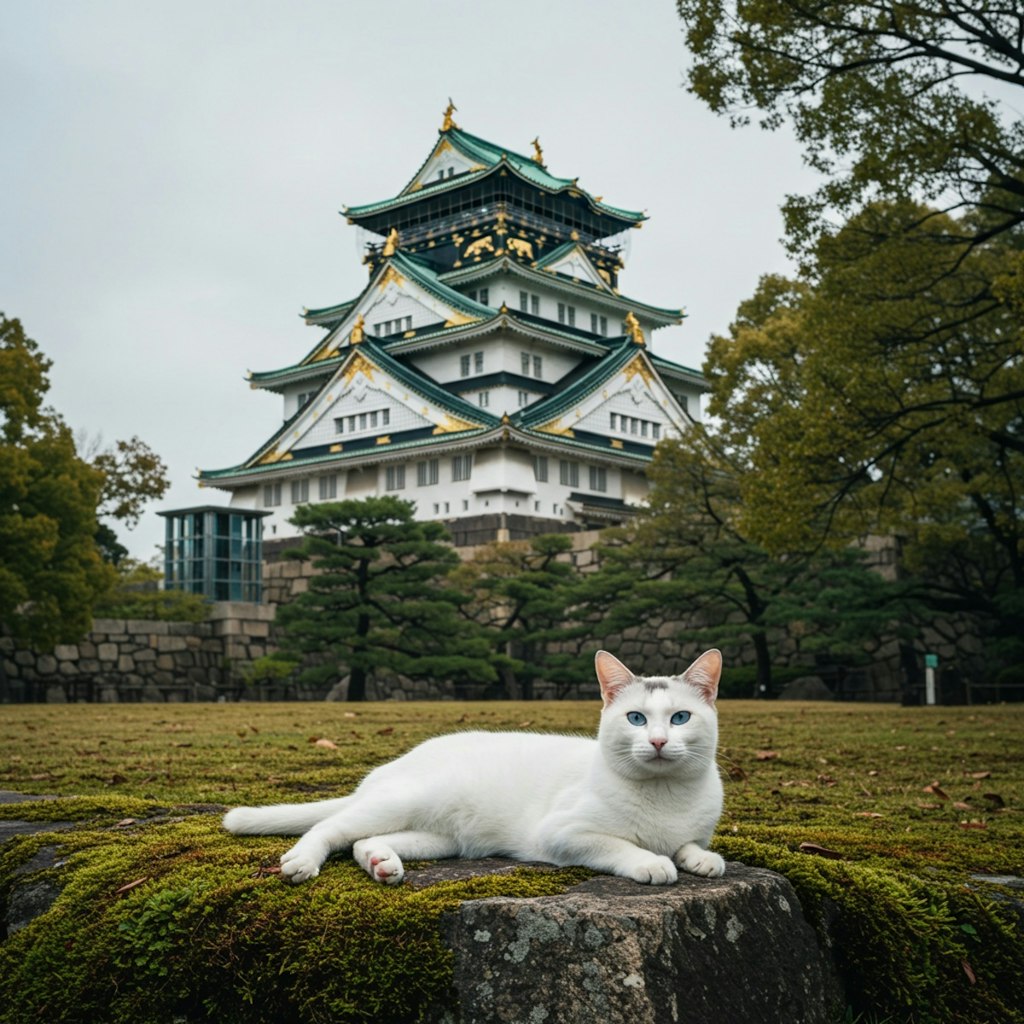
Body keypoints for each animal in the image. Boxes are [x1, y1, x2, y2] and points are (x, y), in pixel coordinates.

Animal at [224, 651, 724, 884]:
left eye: (680, 718)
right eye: (636, 719)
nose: (658, 741)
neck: (664, 795)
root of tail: (389, 768)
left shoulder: (692, 828)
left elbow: (688, 843)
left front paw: (701, 859)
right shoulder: (563, 834)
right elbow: (620, 845)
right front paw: (653, 862)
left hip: (442, 838)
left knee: (362, 840)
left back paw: (382, 864)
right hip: (404, 800)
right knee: (330, 827)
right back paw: (302, 861)